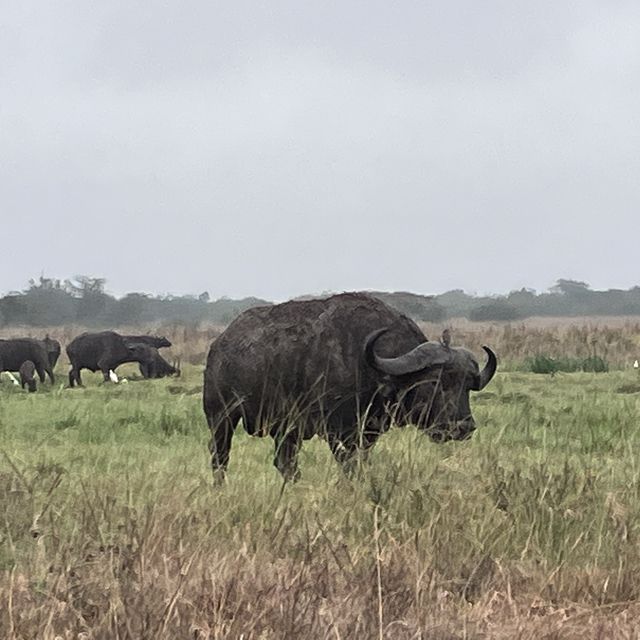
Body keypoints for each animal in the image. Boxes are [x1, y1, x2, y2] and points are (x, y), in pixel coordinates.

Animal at [202, 290, 498, 480]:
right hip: (221, 419)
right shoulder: (338, 431)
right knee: (220, 460)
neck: (371, 366)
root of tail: (220, 345)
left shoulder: (367, 434)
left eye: (467, 386)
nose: (463, 427)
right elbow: (349, 467)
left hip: (287, 430)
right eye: (435, 382)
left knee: (285, 463)